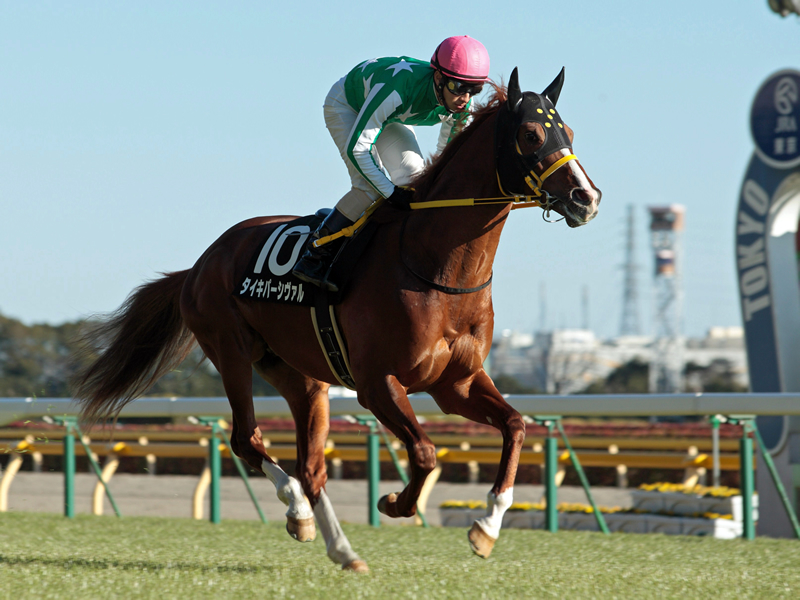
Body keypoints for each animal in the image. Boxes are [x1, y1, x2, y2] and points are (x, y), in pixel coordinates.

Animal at [72, 67, 601, 573]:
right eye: (531, 134)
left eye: (569, 131)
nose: (586, 197)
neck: (437, 268)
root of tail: (201, 263)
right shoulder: (377, 383)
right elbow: (425, 453)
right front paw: (394, 503)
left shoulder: (456, 383)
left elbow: (514, 426)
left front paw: (487, 527)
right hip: (232, 352)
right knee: (247, 439)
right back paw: (299, 511)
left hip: (299, 375)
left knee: (311, 467)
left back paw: (338, 547)